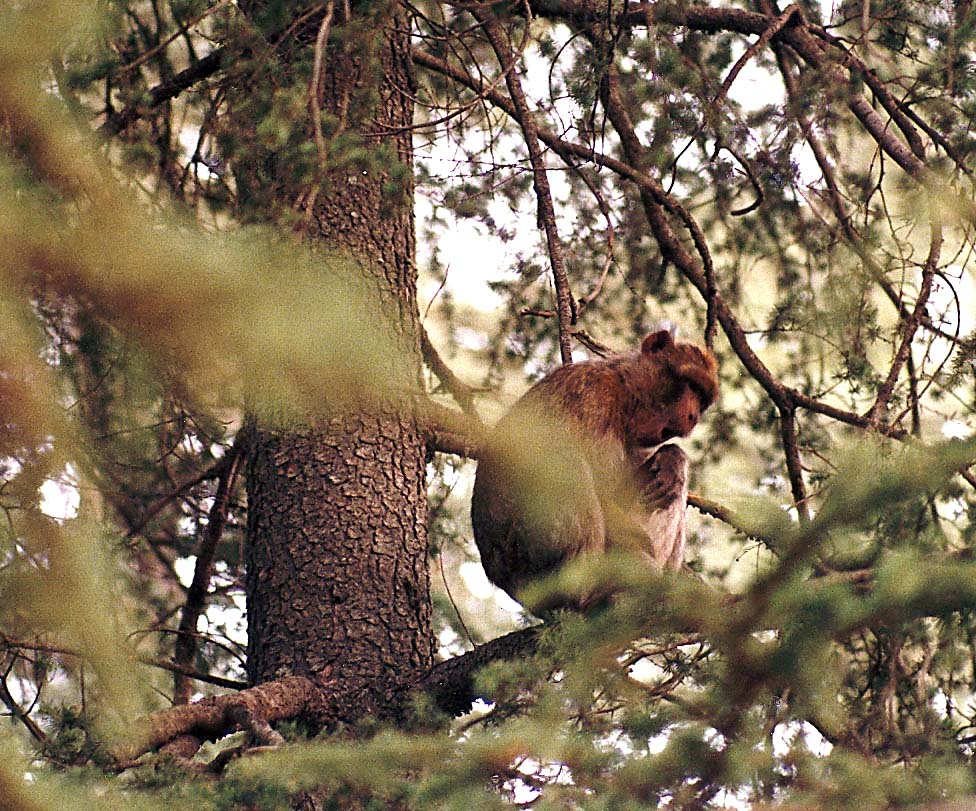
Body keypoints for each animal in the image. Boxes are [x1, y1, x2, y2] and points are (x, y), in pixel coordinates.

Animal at [470, 328, 716, 608]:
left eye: (702, 399)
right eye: (691, 385)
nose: (693, 417)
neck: (626, 396)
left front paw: (674, 459)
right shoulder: (592, 394)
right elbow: (596, 487)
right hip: (528, 557)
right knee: (565, 459)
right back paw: (584, 592)